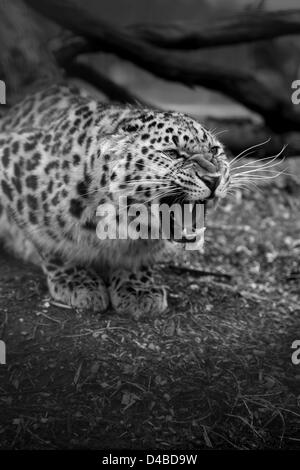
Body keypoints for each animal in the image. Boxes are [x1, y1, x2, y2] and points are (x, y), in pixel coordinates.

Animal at [0, 83, 230, 320]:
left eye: (215, 151)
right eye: (172, 153)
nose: (214, 178)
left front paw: (137, 287)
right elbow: (50, 243)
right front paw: (76, 280)